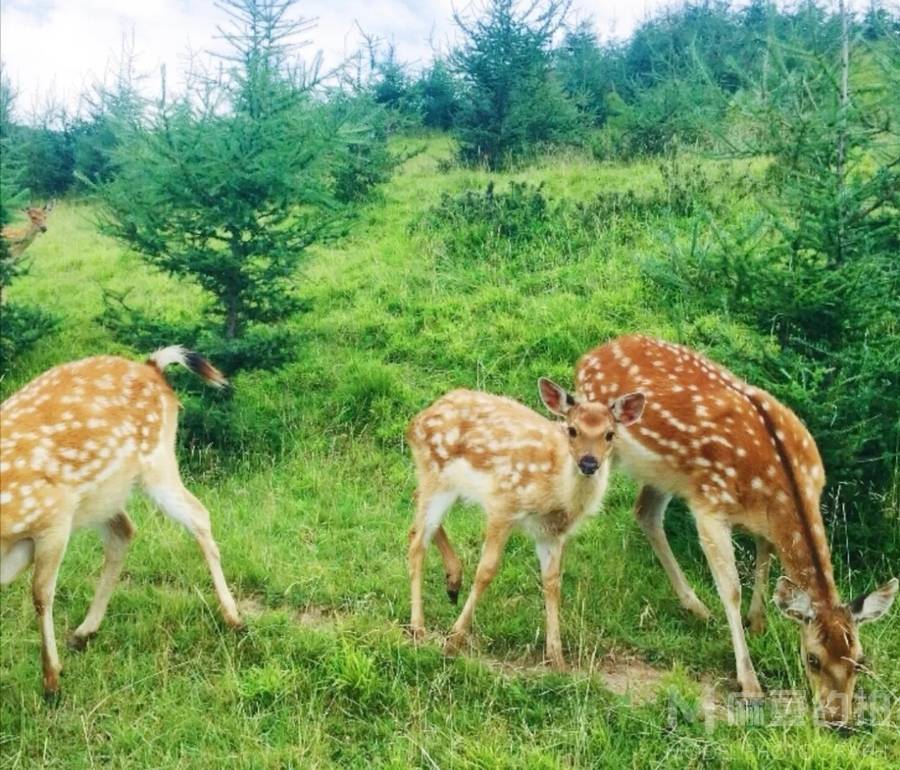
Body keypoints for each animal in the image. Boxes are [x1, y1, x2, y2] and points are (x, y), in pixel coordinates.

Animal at [0, 344, 243, 692]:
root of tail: (153, 368)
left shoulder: (55, 516)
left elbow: (41, 594)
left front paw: (51, 679)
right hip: (104, 497)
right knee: (124, 531)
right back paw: (84, 631)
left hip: (156, 462)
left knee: (198, 515)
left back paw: (234, 617)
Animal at [408, 378, 648, 664]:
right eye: (572, 430)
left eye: (610, 434)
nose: (589, 463)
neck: (556, 491)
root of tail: (417, 421)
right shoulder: (503, 505)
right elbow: (486, 571)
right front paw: (453, 641)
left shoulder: (551, 533)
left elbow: (552, 582)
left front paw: (557, 659)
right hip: (437, 474)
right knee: (417, 542)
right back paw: (418, 626)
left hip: (444, 483)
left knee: (415, 513)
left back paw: (453, 582)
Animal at [572, 332, 896, 724]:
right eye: (812, 659)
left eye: (860, 661)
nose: (837, 718)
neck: (778, 487)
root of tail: (591, 354)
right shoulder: (710, 506)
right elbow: (731, 589)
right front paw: (750, 682)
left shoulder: (761, 519)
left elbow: (764, 555)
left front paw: (757, 623)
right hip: (599, 449)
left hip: (666, 472)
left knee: (645, 513)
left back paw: (695, 607)